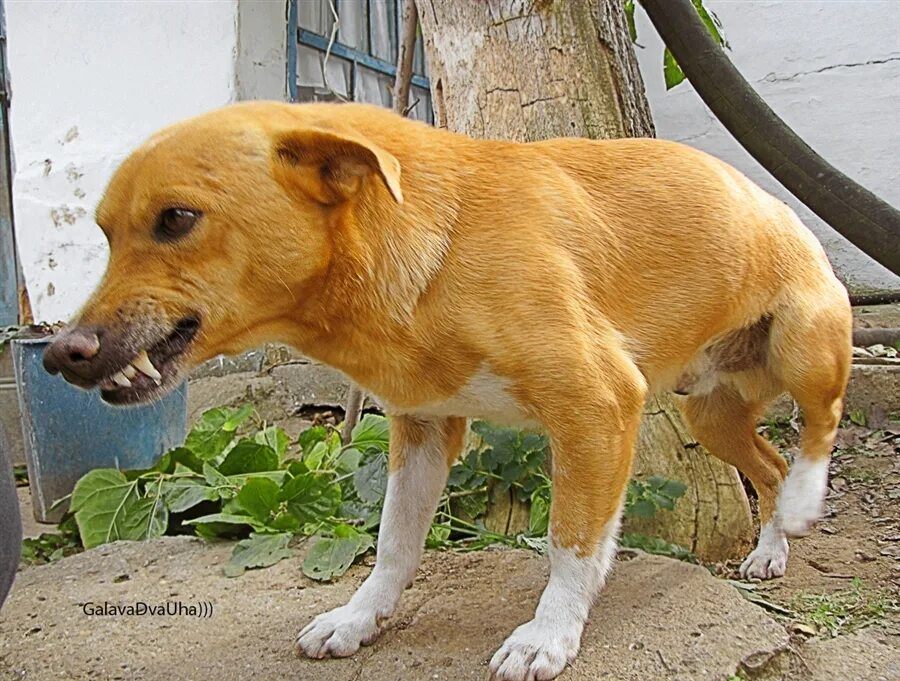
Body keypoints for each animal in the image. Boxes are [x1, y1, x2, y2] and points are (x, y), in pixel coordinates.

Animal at [45, 101, 852, 680]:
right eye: (104, 232)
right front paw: (359, 618)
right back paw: (771, 549)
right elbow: (394, 543)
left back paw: (805, 499)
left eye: (177, 218)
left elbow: (572, 543)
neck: (439, 241)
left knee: (820, 425)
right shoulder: (421, 429)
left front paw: (549, 635)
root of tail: (776, 203)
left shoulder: (597, 407)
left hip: (805, 344)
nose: (58, 354)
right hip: (709, 410)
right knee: (767, 466)